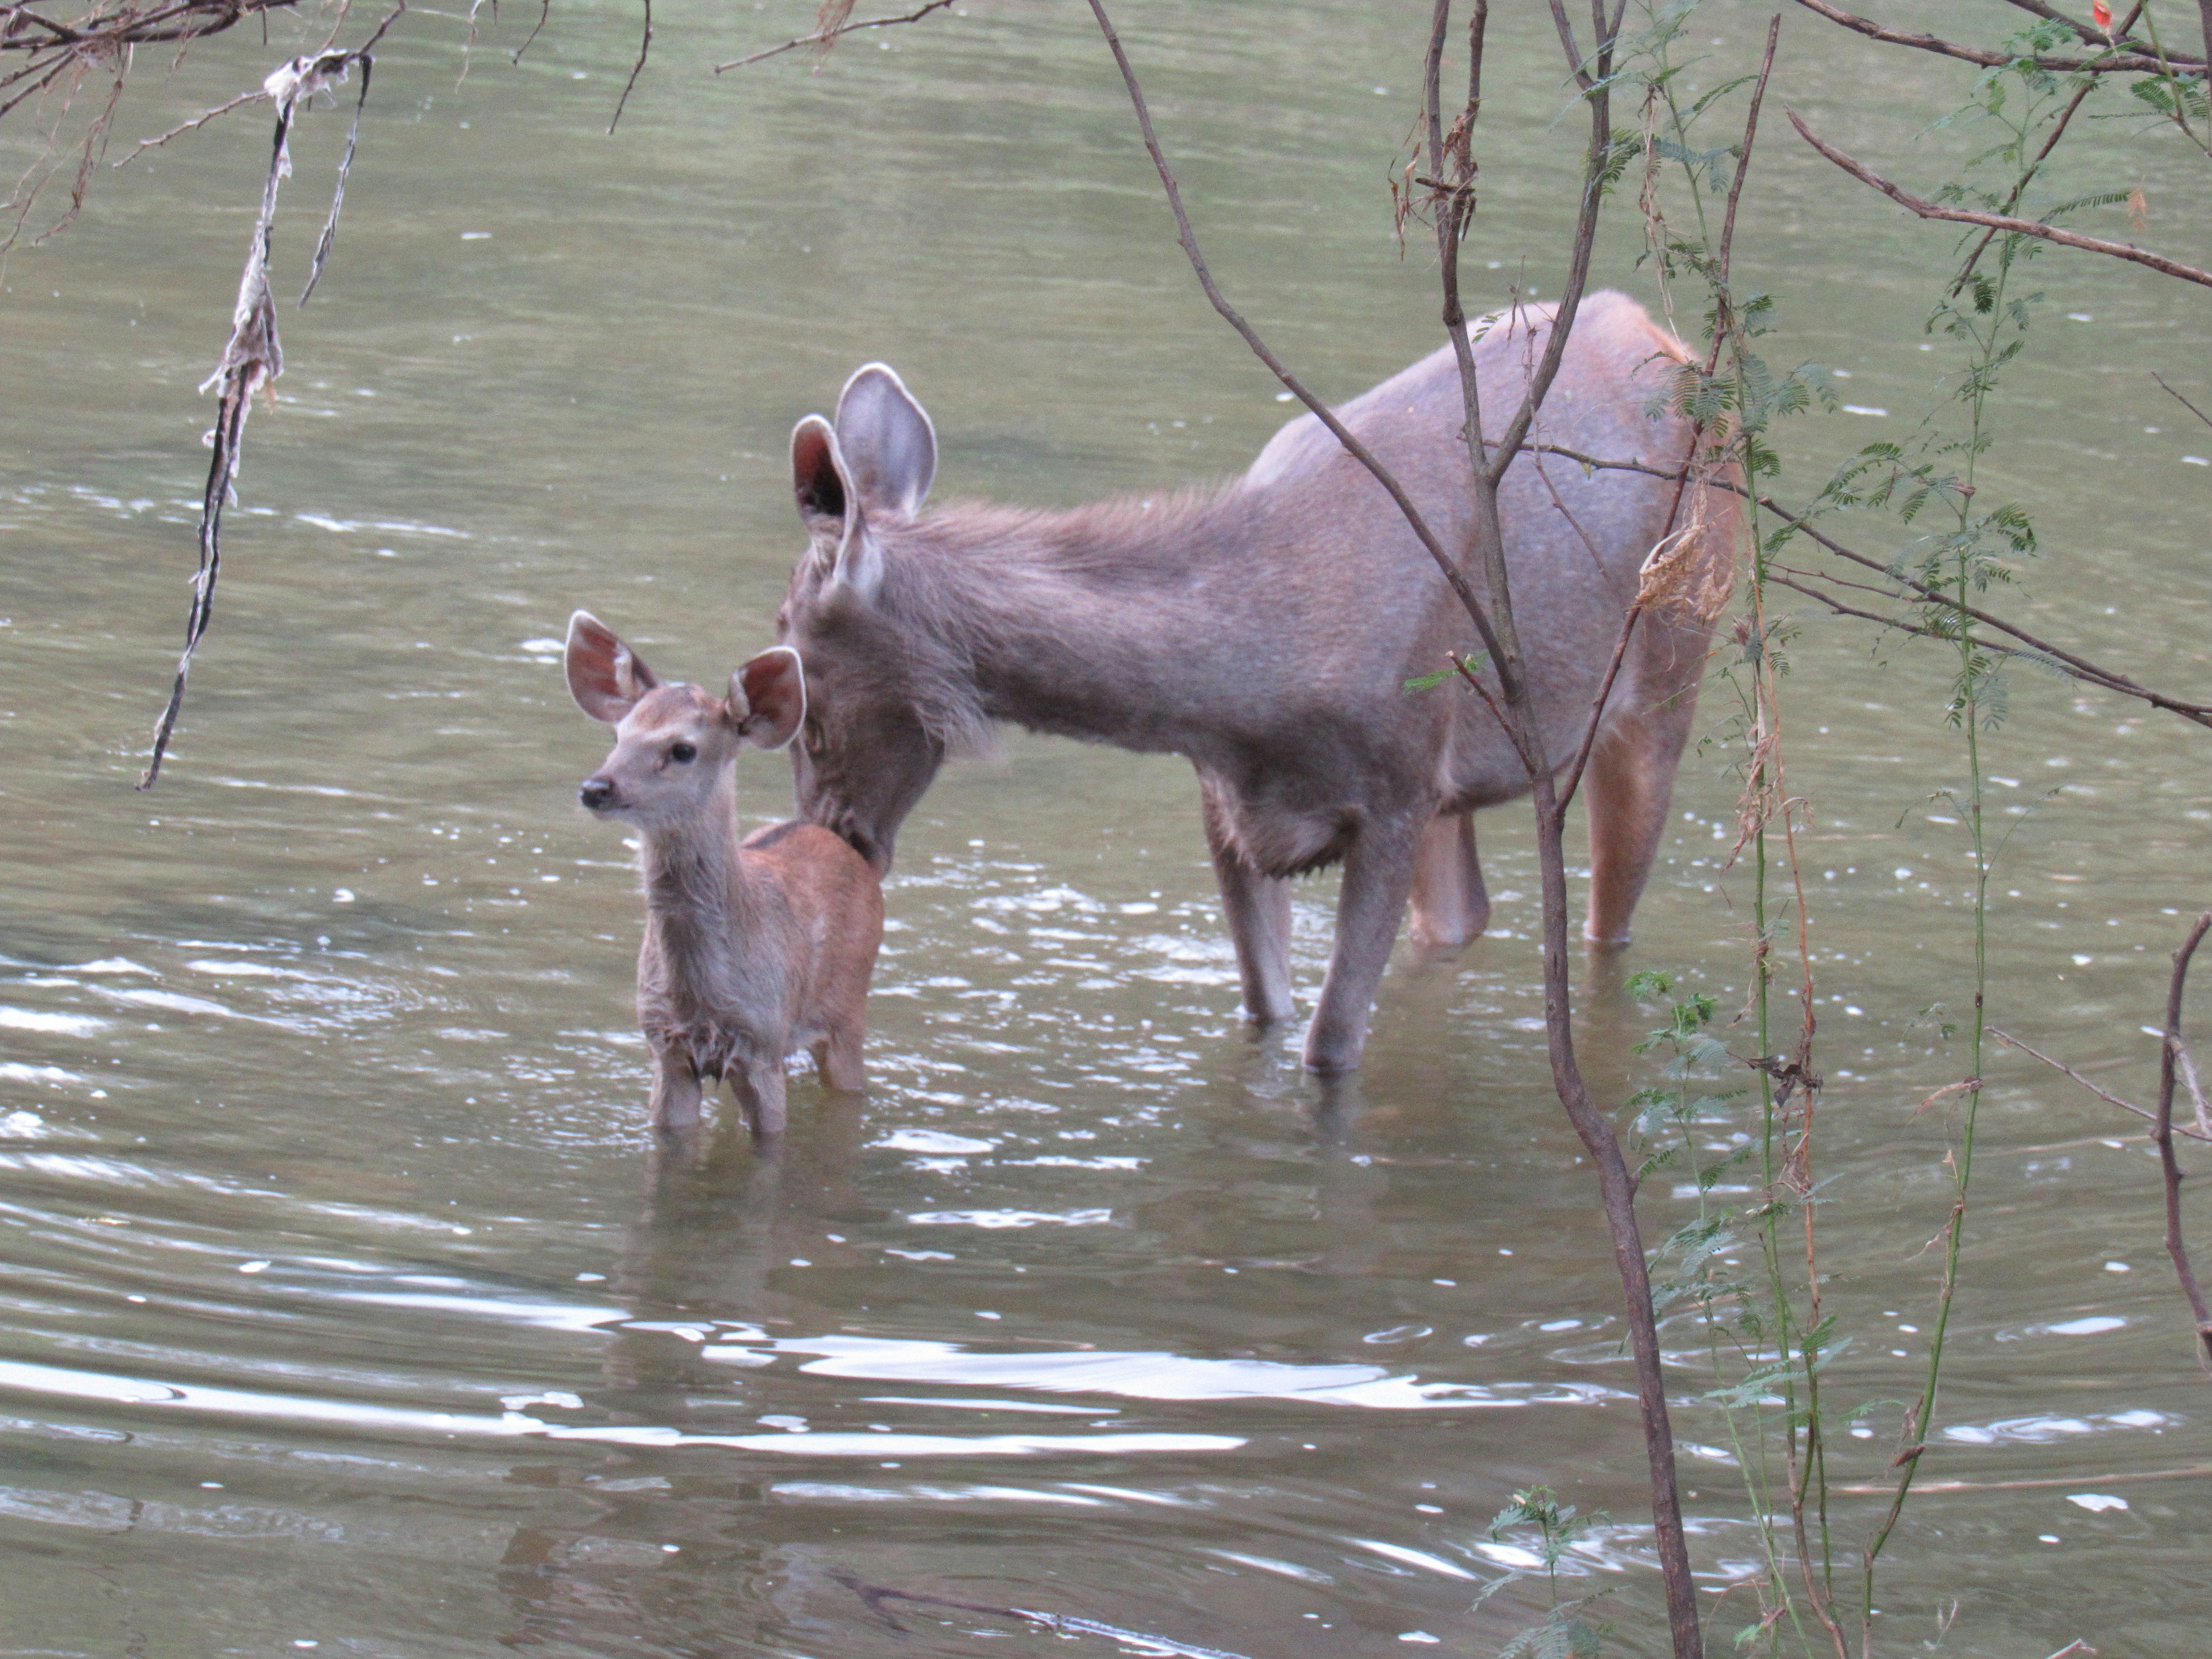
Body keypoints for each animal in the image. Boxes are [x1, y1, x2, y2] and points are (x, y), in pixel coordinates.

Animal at [565, 610, 884, 1137]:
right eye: (616, 737)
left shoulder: (762, 1040)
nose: (596, 788)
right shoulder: (664, 1045)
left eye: (682, 749)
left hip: (848, 1008)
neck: (701, 998)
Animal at [771, 291, 1733, 1076]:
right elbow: (1266, 1015)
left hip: (1670, 667)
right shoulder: (1230, 803)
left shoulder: (1395, 794)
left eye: (800, 695)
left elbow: (1329, 1046)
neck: (1254, 688)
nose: (837, 839)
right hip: (1456, 782)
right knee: (1463, 915)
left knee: (1609, 920)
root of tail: (1659, 332)